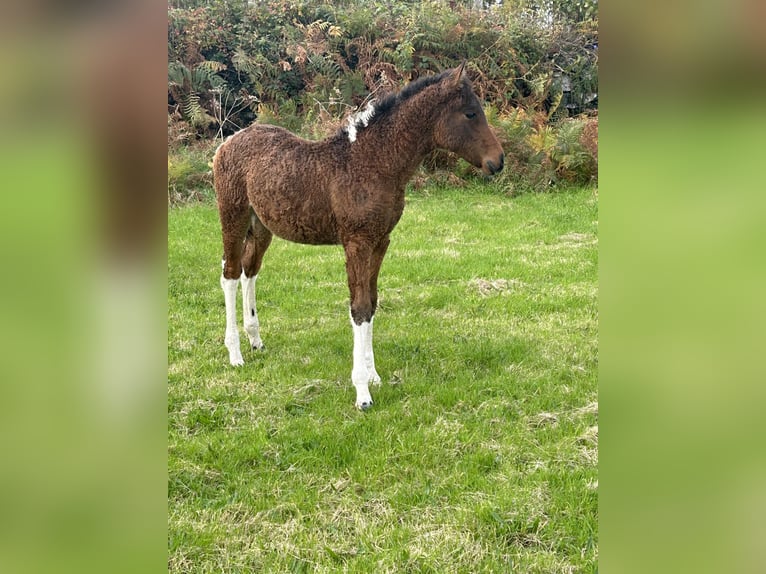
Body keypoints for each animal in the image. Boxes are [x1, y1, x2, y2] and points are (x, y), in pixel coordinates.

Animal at [212, 62, 504, 410]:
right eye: (471, 113)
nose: (498, 161)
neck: (374, 162)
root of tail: (228, 142)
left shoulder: (380, 242)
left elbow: (372, 302)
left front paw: (374, 375)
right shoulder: (356, 243)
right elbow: (359, 307)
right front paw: (362, 392)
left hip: (261, 226)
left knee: (249, 270)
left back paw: (255, 339)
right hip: (233, 214)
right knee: (230, 273)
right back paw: (235, 354)